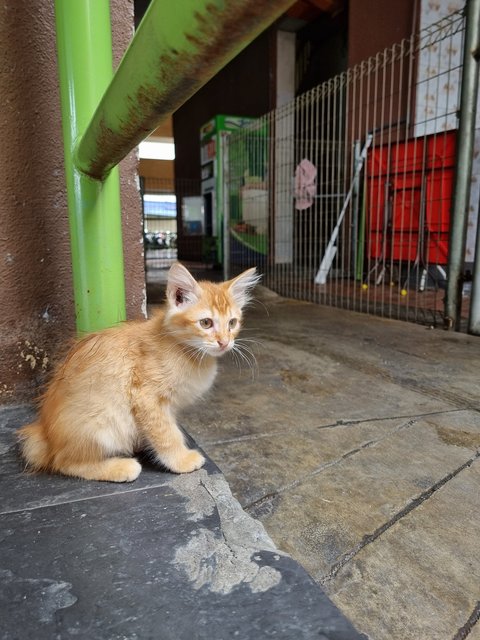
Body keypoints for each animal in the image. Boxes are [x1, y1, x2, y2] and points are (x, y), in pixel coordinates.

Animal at [18, 262, 258, 482]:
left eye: (232, 323)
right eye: (206, 323)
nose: (224, 342)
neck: (183, 349)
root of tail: (46, 437)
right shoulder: (146, 397)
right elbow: (166, 433)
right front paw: (180, 460)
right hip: (102, 422)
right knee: (65, 462)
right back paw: (120, 467)